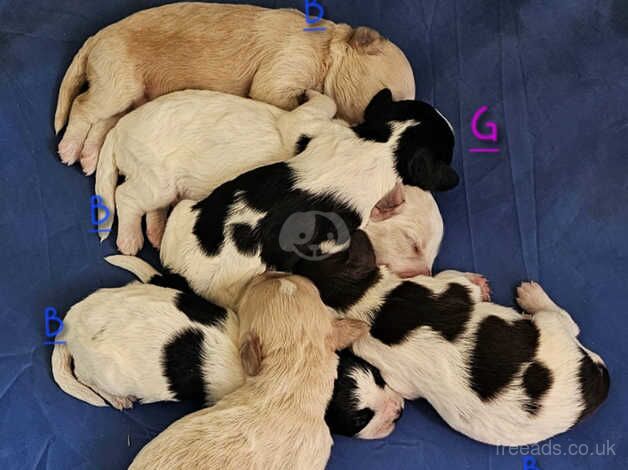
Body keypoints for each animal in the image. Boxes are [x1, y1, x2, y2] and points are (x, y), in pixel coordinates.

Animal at [55, 1, 418, 174]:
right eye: (388, 99)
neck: (328, 49)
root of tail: (96, 38)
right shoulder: (281, 75)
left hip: (126, 94)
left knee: (100, 123)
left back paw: (88, 156)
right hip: (118, 85)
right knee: (82, 107)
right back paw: (70, 148)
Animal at [94, 89, 338, 255]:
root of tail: (118, 129)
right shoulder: (300, 123)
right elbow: (327, 103)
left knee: (150, 207)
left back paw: (156, 231)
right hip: (156, 181)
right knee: (124, 196)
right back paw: (130, 239)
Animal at [159, 88, 458, 310]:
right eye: (412, 244)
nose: (425, 273)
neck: (387, 144)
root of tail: (182, 272)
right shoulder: (315, 129)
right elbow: (320, 106)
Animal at [302, 233, 612, 446]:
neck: (360, 301)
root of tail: (597, 385)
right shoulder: (443, 287)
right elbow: (456, 279)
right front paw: (479, 284)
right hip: (552, 328)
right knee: (567, 321)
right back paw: (533, 296)